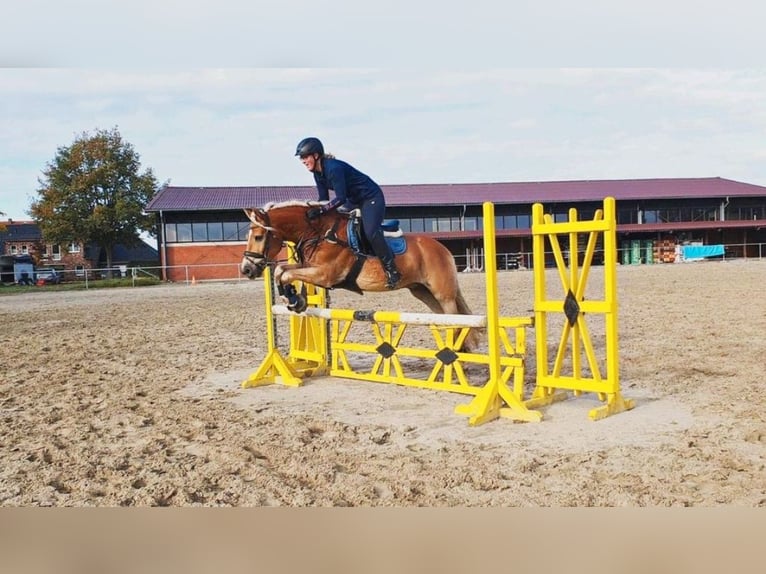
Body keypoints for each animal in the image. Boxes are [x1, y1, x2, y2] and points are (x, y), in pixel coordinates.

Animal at [240, 200, 484, 354]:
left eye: (259, 237)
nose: (246, 270)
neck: (319, 233)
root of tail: (443, 248)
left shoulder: (325, 274)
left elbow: (286, 273)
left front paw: (292, 298)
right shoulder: (311, 268)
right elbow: (282, 271)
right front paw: (295, 300)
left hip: (442, 293)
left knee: (456, 318)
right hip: (422, 291)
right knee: (449, 318)